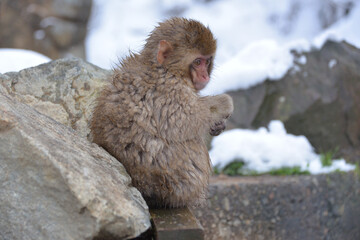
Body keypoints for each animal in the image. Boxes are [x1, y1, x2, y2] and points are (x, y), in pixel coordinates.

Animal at [90, 17, 233, 208]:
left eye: (207, 61)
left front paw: (218, 125)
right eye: (197, 62)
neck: (161, 67)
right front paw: (225, 104)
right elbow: (183, 120)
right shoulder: (168, 88)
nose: (205, 76)